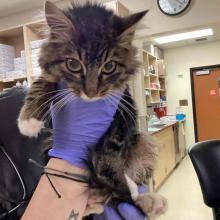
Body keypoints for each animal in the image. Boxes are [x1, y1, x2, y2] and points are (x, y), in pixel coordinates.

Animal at [18, 1, 168, 218]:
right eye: (73, 64)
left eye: (109, 67)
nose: (91, 92)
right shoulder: (51, 75)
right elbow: (41, 82)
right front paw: (28, 121)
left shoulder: (121, 113)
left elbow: (108, 157)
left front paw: (127, 190)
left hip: (143, 143)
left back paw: (147, 201)